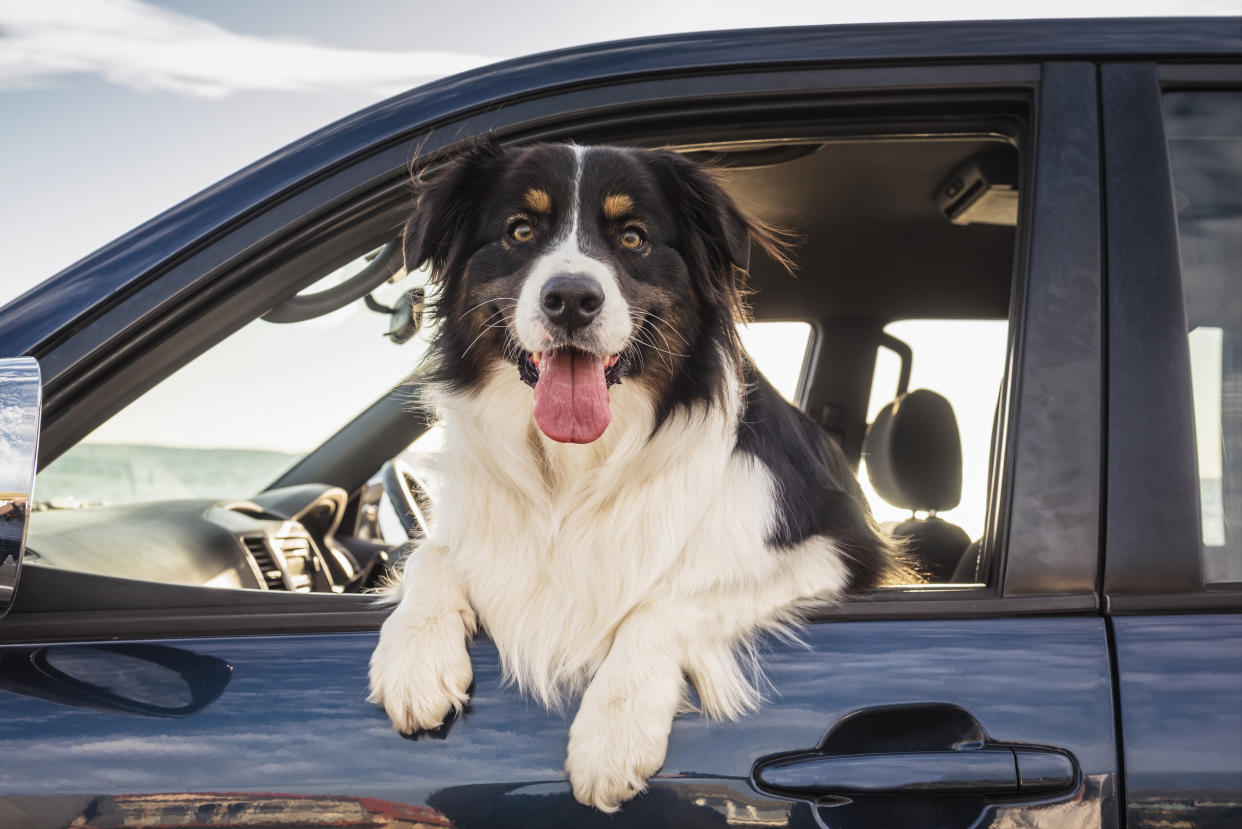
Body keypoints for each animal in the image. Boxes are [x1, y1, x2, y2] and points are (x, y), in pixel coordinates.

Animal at [367, 137, 904, 810]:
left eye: (633, 237)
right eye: (520, 230)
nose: (572, 299)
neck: (576, 468)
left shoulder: (836, 551)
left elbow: (667, 600)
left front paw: (613, 729)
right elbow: (431, 555)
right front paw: (413, 659)